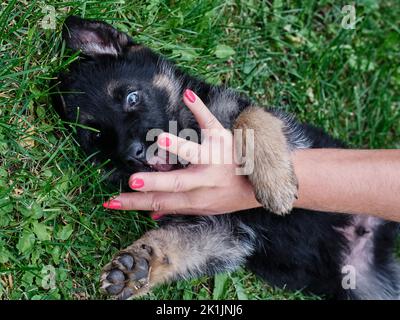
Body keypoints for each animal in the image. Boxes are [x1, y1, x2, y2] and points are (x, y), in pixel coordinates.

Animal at [53, 16, 400, 298]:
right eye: (99, 138)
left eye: (131, 97)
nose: (134, 153)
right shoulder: (220, 232)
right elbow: (174, 245)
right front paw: (137, 267)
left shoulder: (261, 120)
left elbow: (252, 119)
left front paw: (275, 184)